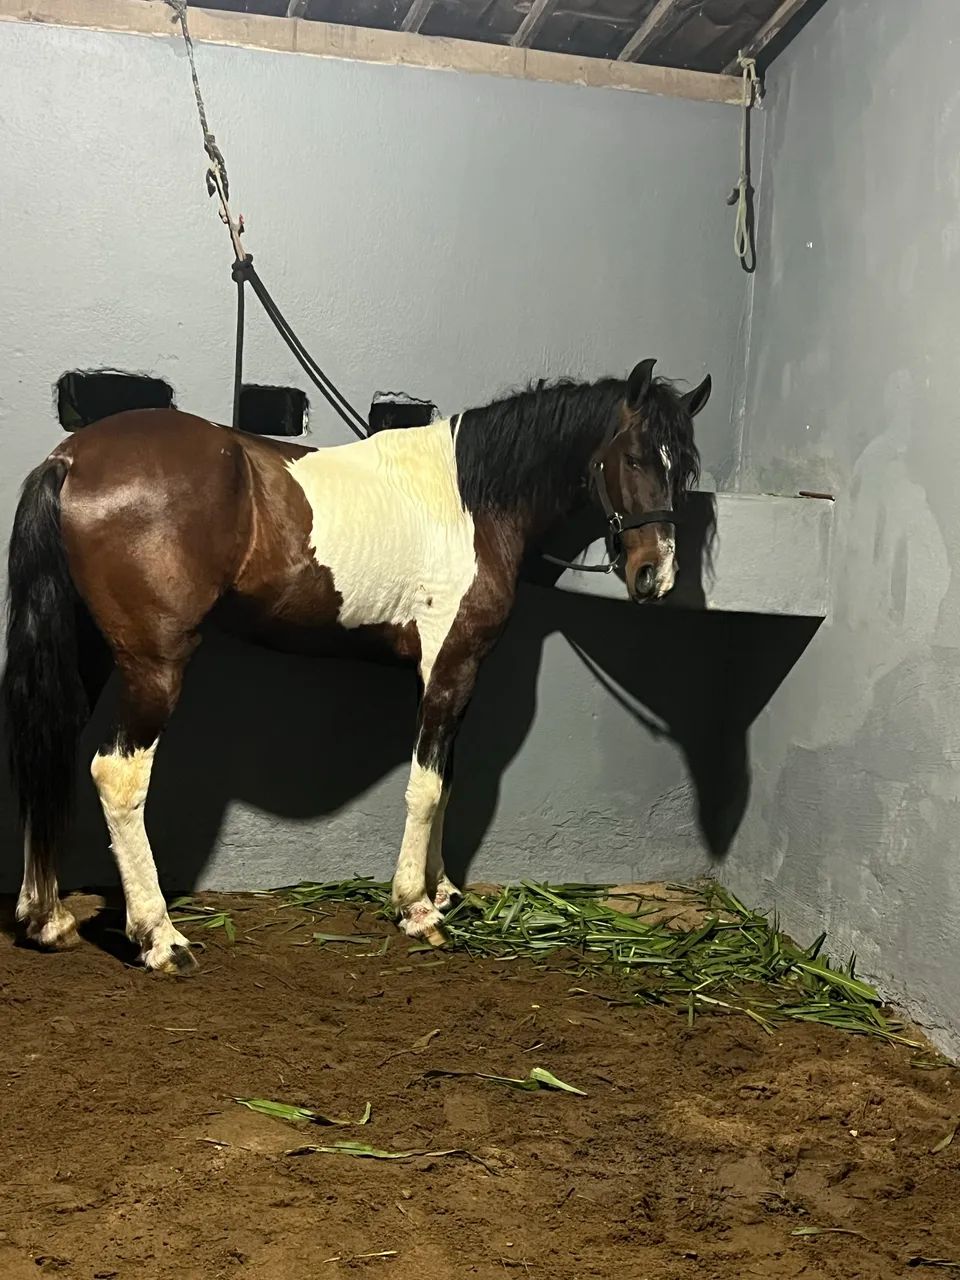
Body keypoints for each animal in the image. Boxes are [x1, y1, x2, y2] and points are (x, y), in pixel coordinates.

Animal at [3, 357, 710, 974]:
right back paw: (159, 937)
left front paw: (443, 889)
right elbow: (426, 785)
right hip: (155, 665)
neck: (469, 499)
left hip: (91, 653)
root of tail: (72, 457)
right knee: (117, 776)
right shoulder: (451, 664)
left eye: (684, 469)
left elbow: (447, 777)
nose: (656, 575)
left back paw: (47, 919)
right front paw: (417, 908)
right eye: (636, 456)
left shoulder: (455, 676)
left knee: (52, 748)